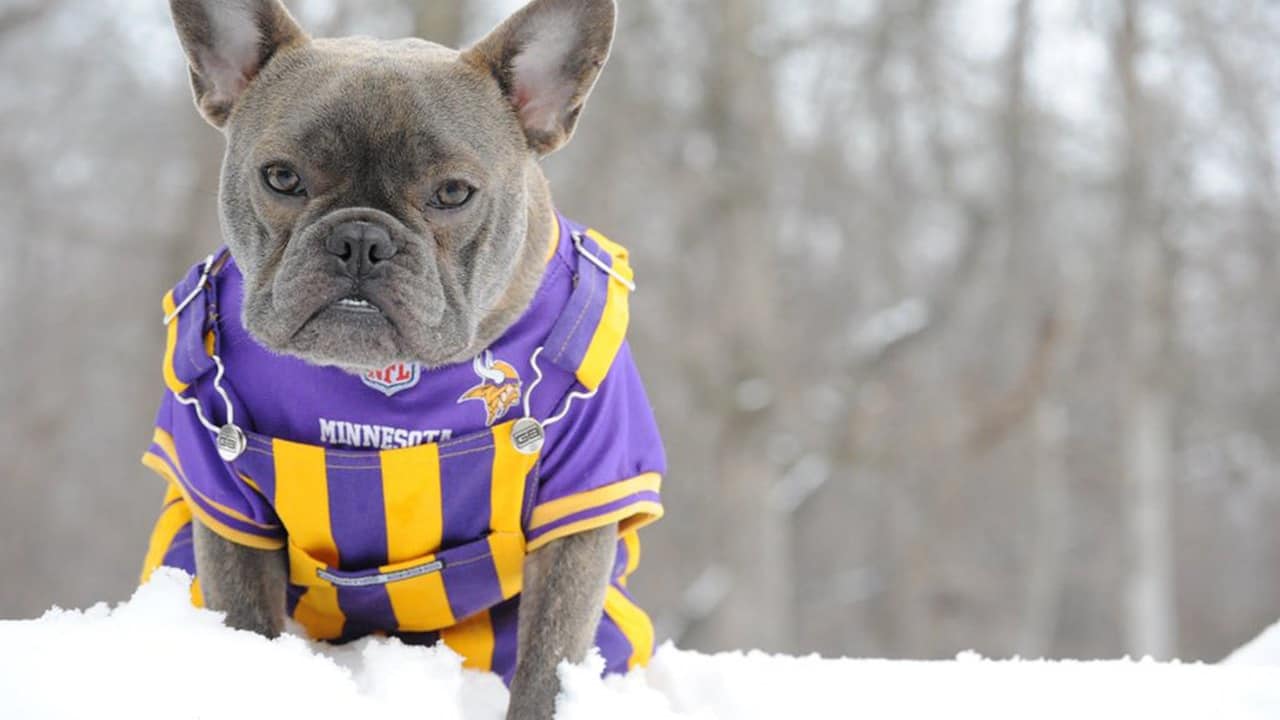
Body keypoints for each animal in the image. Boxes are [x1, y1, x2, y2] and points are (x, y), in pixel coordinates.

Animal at [137, 2, 670, 712]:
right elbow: (248, 621)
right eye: (282, 177)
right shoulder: (222, 500)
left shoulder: (583, 505)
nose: (361, 239)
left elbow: (549, 660)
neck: (384, 385)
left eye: (452, 193)